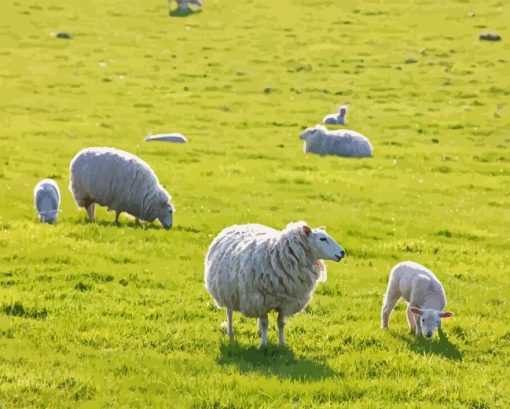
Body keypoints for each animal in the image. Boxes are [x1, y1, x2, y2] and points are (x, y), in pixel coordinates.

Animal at [204, 222, 346, 346]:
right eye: (323, 239)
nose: (342, 252)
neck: (280, 254)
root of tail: (238, 225)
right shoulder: (261, 301)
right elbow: (265, 323)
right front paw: (263, 345)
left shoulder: (286, 301)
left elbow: (280, 323)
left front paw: (282, 344)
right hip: (228, 292)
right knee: (229, 313)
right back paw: (231, 334)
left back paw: (257, 331)